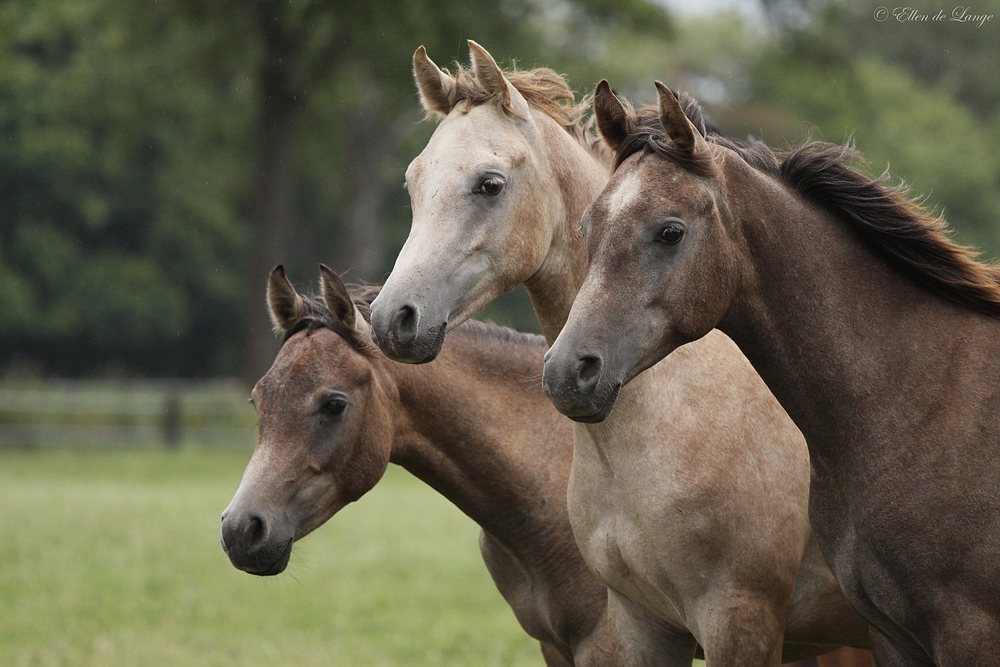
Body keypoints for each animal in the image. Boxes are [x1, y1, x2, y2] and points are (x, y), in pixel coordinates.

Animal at [368, 43, 868, 667]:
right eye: (413, 182)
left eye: (490, 184)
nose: (392, 319)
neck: (667, 417)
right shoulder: (639, 623)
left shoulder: (739, 620)